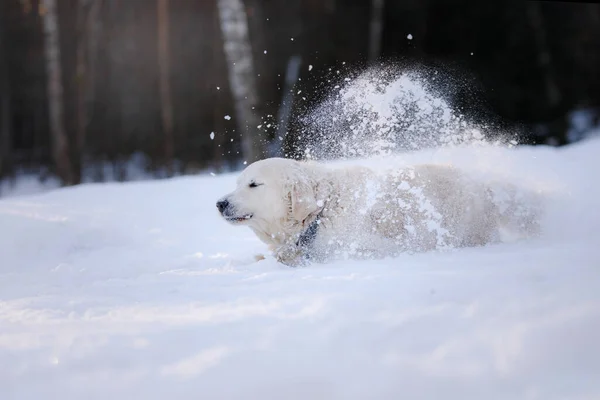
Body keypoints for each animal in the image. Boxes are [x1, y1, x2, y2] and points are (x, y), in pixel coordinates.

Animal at [217, 158, 540, 268]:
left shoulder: (371, 247)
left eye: (254, 184)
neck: (320, 213)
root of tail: (484, 186)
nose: (219, 203)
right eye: (237, 183)